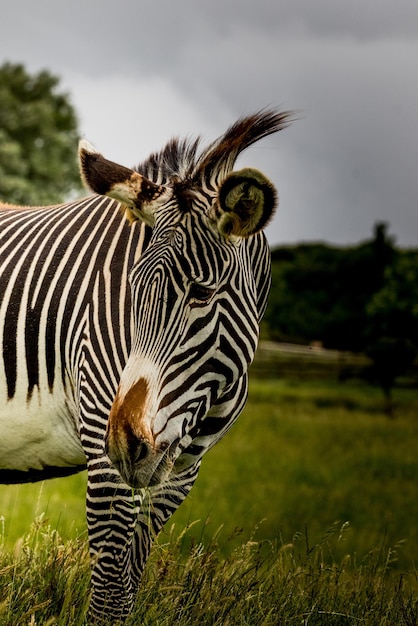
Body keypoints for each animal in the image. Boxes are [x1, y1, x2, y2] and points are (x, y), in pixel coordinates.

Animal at [0, 108, 294, 620]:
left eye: (202, 293)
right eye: (130, 287)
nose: (127, 443)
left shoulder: (184, 470)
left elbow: (127, 585)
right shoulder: (105, 455)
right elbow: (108, 595)